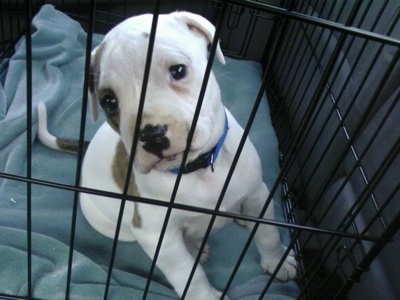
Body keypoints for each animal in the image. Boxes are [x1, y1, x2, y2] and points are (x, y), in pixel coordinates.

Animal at [38, 11, 296, 300]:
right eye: (109, 102)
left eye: (178, 70)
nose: (152, 135)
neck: (197, 169)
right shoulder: (158, 238)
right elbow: (188, 273)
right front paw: (206, 295)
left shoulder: (256, 193)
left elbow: (267, 234)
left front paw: (277, 262)